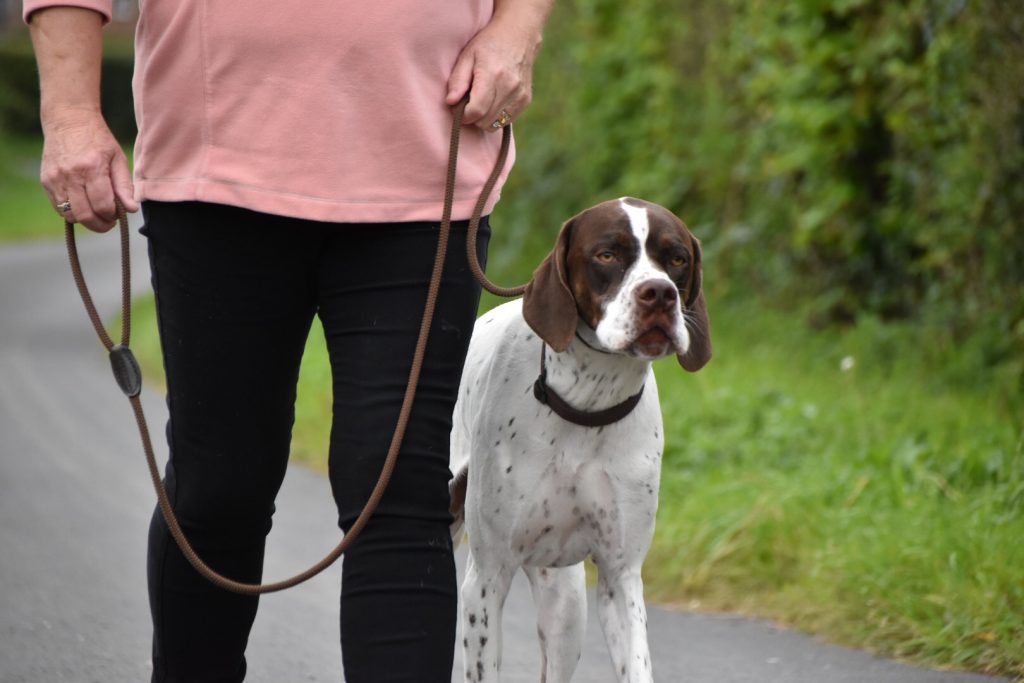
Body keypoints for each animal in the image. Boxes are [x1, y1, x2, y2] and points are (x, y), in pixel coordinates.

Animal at [448, 197, 712, 683]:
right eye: (607, 254)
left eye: (677, 259)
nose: (660, 294)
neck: (587, 405)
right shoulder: (487, 578)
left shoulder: (620, 576)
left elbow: (638, 664)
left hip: (567, 606)